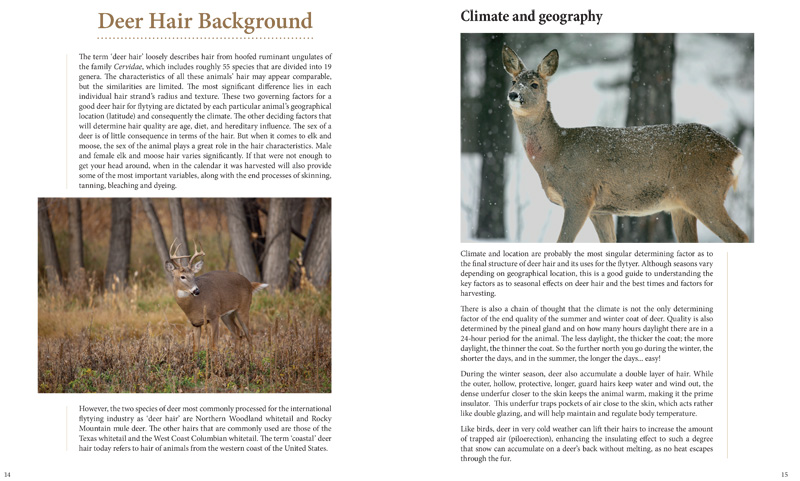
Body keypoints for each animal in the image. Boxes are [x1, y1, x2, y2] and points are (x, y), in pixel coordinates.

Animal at [501, 46, 749, 243]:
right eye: (513, 81)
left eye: (534, 84)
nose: (513, 95)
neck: (556, 152)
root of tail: (735, 152)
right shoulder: (600, 210)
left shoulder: (578, 195)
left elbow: (562, 242)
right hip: (682, 205)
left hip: (705, 193)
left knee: (739, 236)